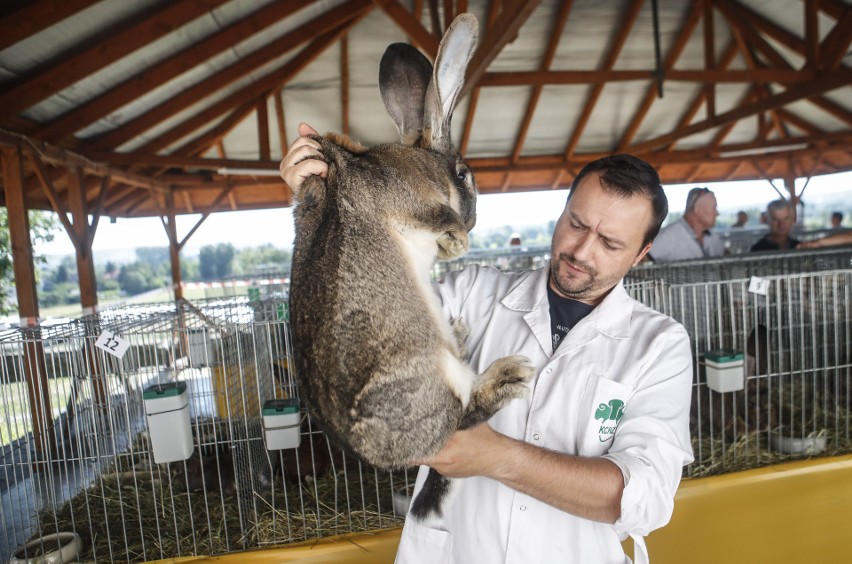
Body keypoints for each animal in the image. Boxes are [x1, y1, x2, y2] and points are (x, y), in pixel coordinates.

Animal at [290, 14, 536, 524]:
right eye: (462, 175)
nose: (473, 220)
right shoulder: (412, 202)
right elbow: (437, 218)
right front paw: (457, 241)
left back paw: (461, 335)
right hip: (431, 378)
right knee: (463, 417)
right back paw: (509, 376)